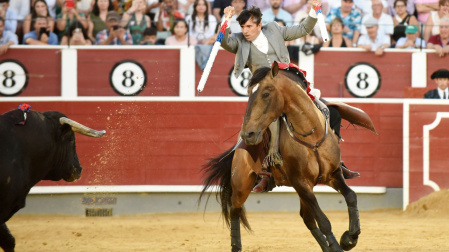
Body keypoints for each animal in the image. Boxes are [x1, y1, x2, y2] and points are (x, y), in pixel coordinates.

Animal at [200, 61, 360, 252]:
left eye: (266, 93)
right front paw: (337, 246)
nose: (248, 134)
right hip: (241, 183)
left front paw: (349, 238)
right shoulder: (301, 183)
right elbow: (323, 220)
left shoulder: (333, 174)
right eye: (248, 93)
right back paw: (236, 246)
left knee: (307, 218)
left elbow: (351, 196)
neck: (311, 136)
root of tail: (239, 145)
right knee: (234, 209)